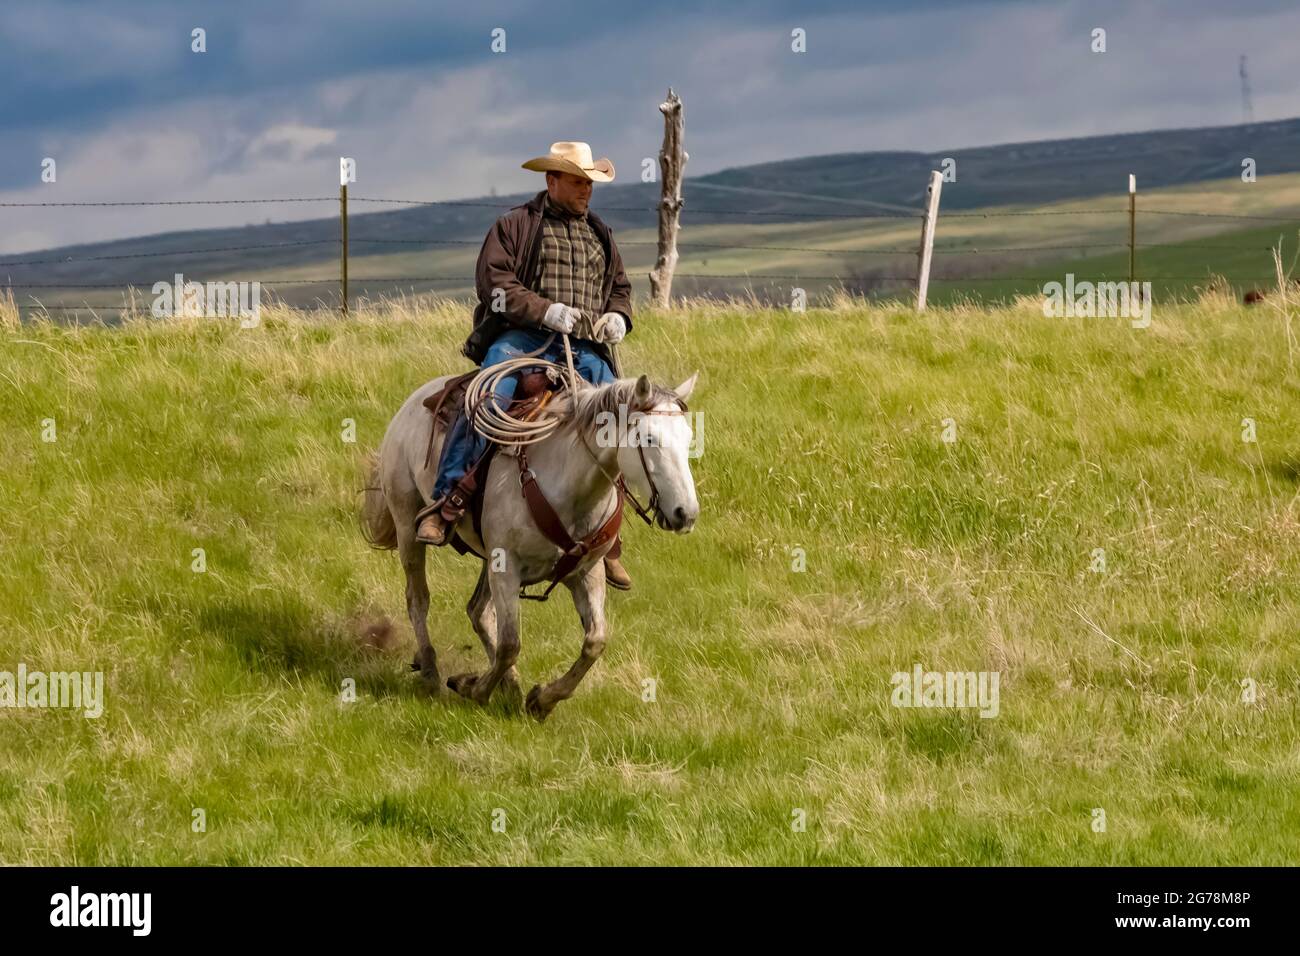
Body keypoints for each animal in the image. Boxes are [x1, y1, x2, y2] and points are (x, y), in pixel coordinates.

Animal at [361, 369, 696, 723]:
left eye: (689, 437)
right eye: (649, 439)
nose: (685, 514)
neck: (568, 485)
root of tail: (413, 402)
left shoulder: (587, 572)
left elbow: (594, 642)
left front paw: (541, 699)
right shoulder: (506, 565)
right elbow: (510, 644)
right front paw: (476, 689)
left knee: (478, 612)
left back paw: (509, 686)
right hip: (406, 525)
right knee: (418, 599)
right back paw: (430, 672)